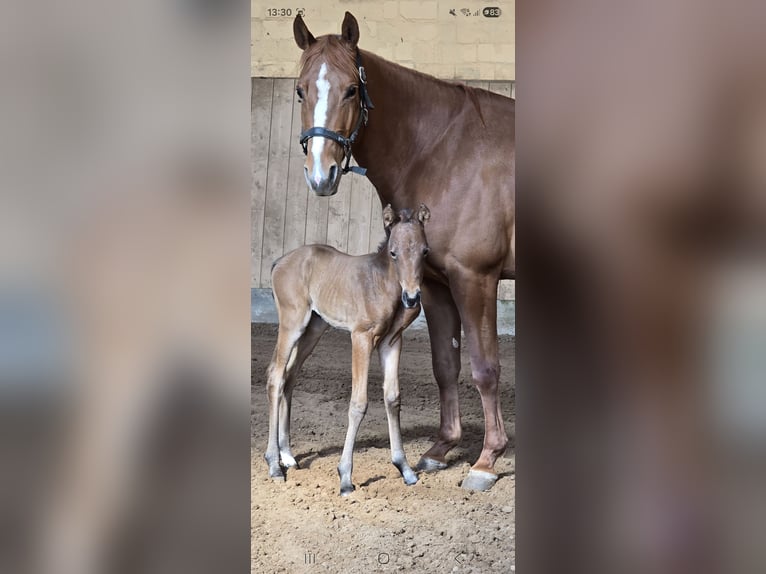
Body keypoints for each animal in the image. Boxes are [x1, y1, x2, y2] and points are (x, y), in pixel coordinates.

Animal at [264, 204, 431, 495]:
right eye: (393, 253)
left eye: (425, 251)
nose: (411, 298)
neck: (383, 283)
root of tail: (279, 261)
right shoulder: (361, 337)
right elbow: (358, 403)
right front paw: (345, 478)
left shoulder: (392, 340)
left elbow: (392, 397)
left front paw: (405, 469)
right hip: (293, 323)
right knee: (275, 374)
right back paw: (274, 464)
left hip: (314, 327)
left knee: (290, 374)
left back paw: (288, 456)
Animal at [291, 11, 514, 490]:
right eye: (300, 89)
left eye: (351, 89)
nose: (321, 175)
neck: (443, 150)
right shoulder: (433, 283)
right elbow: (445, 364)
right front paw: (440, 449)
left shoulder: (475, 278)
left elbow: (485, 367)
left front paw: (487, 460)